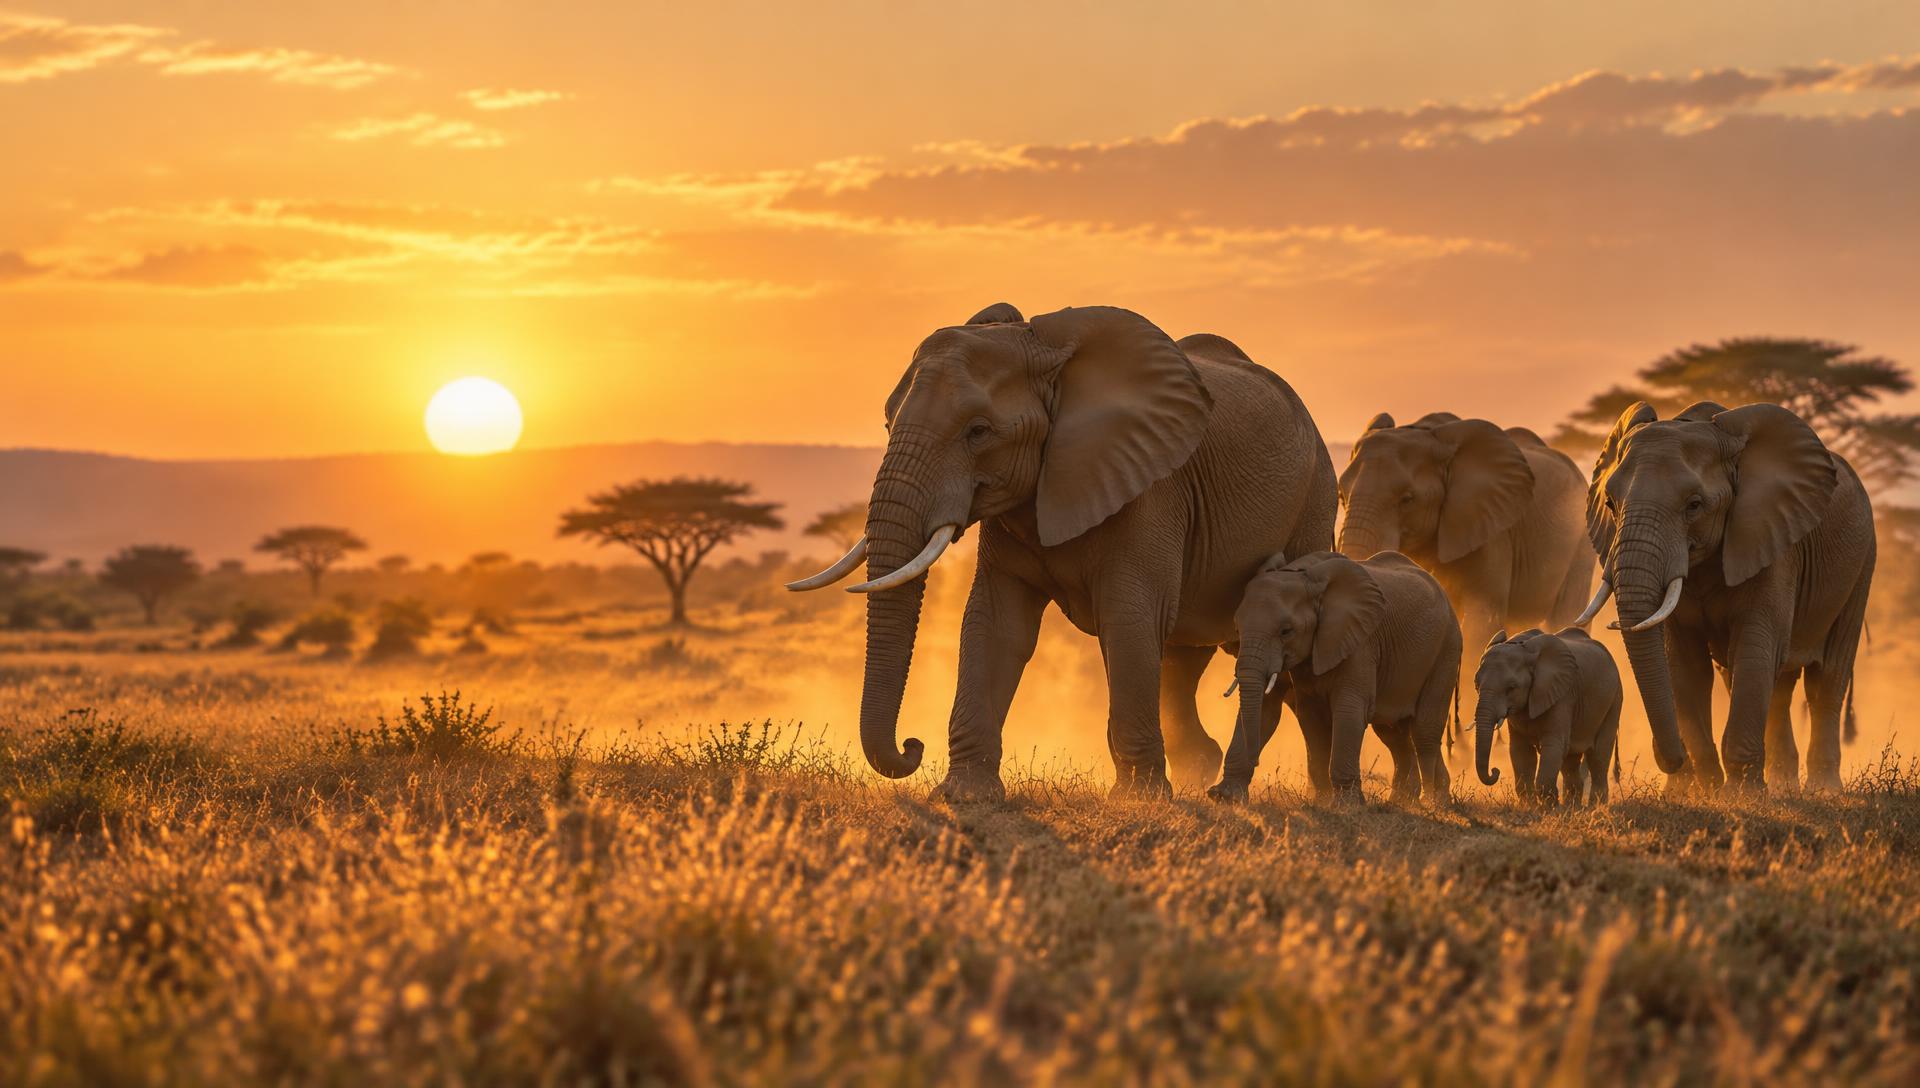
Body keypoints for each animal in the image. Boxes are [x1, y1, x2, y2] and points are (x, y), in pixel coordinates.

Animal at [787, 303, 1338, 800]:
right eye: (887, 424)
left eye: (978, 431)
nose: (911, 746)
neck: (1048, 358)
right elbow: (995, 623)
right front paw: (966, 795)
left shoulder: (1151, 486)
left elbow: (1128, 617)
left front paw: (1138, 800)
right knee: (1183, 656)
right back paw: (1198, 773)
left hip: (1315, 500)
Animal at [1207, 550, 1459, 804]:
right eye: (1237, 630)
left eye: (1286, 631)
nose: (1258, 761)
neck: (1303, 576)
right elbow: (1301, 713)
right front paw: (1223, 797)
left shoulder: (1360, 642)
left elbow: (1349, 709)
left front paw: (1347, 804)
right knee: (1393, 733)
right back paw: (1404, 801)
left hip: (1447, 649)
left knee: (1424, 731)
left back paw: (1431, 802)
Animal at [1335, 413, 1594, 673]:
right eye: (1341, 496)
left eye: (1407, 499)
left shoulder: (1491, 531)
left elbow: (1481, 621)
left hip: (1580, 537)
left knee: (1565, 614)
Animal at [1470, 627, 1622, 805]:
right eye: (1476, 685)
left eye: (1511, 687)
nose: (1495, 770)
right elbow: (1521, 750)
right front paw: (1532, 808)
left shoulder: (1563, 695)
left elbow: (1554, 745)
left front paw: (1549, 808)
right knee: (1570, 762)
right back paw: (1573, 808)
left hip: (1614, 700)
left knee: (1598, 756)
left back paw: (1595, 808)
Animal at [1585, 401, 1874, 793]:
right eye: (1611, 504)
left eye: (1694, 505)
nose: (1670, 758)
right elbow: (1684, 662)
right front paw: (1700, 791)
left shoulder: (1771, 538)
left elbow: (1755, 647)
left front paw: (1741, 794)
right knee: (1773, 685)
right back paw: (1784, 787)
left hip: (1862, 564)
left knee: (1826, 678)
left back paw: (1823, 791)